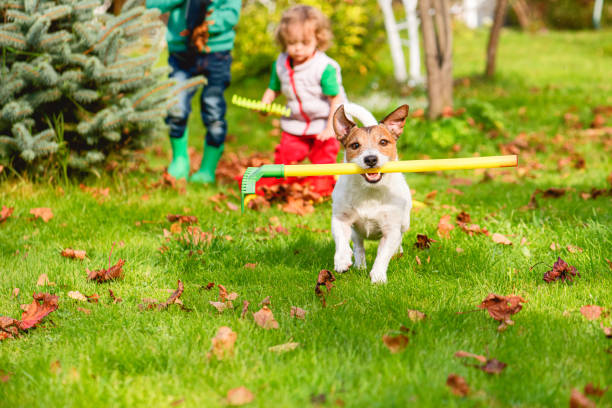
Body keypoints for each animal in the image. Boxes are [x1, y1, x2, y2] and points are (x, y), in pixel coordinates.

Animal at [330, 104, 412, 284]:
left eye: (383, 142)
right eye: (355, 145)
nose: (371, 159)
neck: (369, 190)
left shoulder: (391, 230)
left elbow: (383, 254)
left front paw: (378, 276)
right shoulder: (340, 218)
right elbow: (341, 239)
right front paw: (342, 260)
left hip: (404, 222)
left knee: (399, 239)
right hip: (356, 231)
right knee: (358, 244)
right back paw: (359, 264)